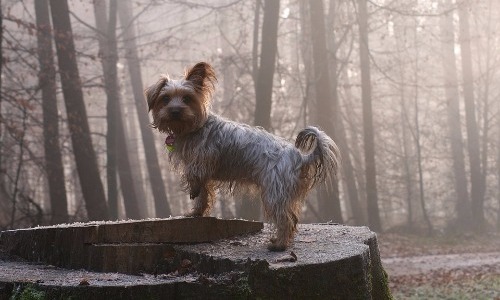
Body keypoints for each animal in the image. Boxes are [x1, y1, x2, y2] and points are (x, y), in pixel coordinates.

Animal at [145, 61, 340, 251]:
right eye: (165, 99)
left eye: (187, 98)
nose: (175, 111)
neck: (190, 128)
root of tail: (299, 156)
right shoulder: (205, 174)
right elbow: (203, 195)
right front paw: (196, 212)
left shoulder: (203, 160)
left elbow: (195, 177)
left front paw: (193, 191)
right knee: (292, 219)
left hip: (274, 193)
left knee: (285, 219)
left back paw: (279, 244)